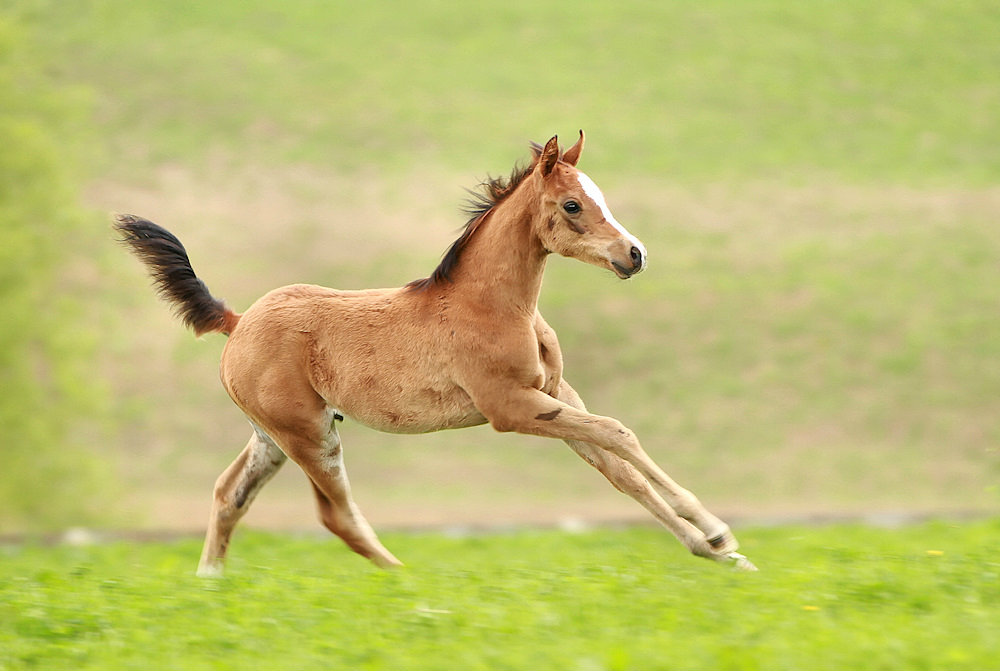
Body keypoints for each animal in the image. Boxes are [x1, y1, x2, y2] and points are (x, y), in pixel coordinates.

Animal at [115, 133, 756, 576]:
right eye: (573, 205)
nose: (635, 254)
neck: (492, 304)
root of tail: (239, 320)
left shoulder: (553, 394)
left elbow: (619, 469)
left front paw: (720, 553)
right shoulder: (510, 408)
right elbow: (619, 433)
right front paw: (718, 533)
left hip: (272, 436)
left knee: (230, 494)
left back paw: (209, 582)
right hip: (308, 436)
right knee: (335, 515)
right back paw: (407, 579)